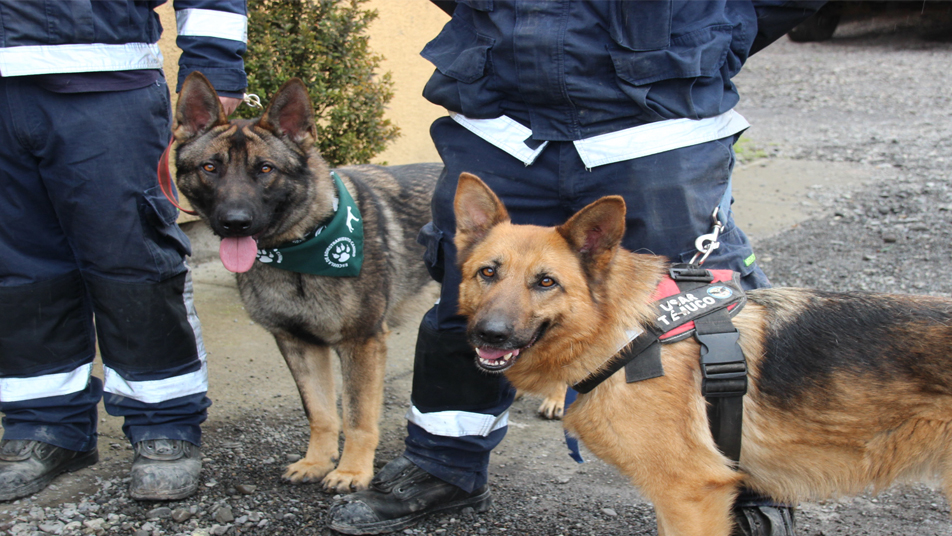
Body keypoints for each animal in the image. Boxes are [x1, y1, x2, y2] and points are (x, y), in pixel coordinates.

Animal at [171, 72, 438, 494]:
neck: (300, 246)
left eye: (265, 169)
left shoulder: (361, 343)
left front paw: (352, 471)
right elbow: (321, 412)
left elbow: (358, 416)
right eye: (210, 167)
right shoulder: (298, 344)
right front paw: (317, 462)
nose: (234, 223)